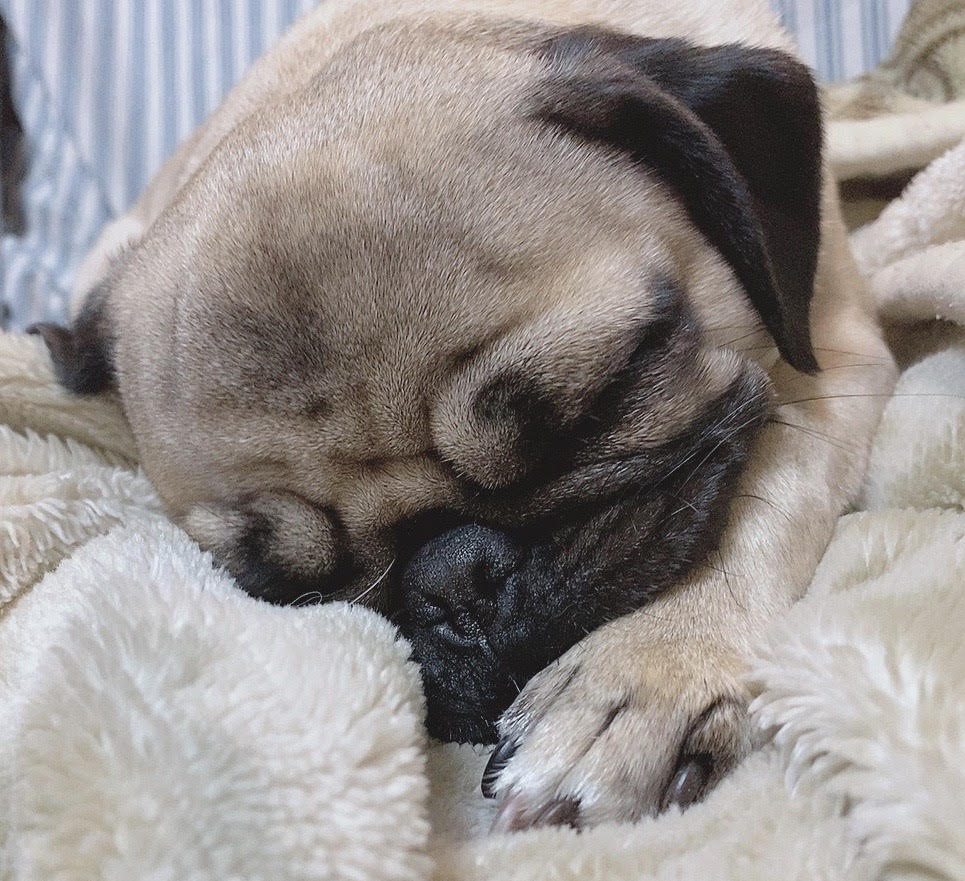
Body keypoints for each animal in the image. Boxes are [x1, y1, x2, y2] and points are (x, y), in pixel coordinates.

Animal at [31, 0, 896, 830]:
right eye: (285, 588)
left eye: (605, 396)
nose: (452, 577)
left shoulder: (837, 353)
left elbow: (767, 482)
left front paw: (647, 666)